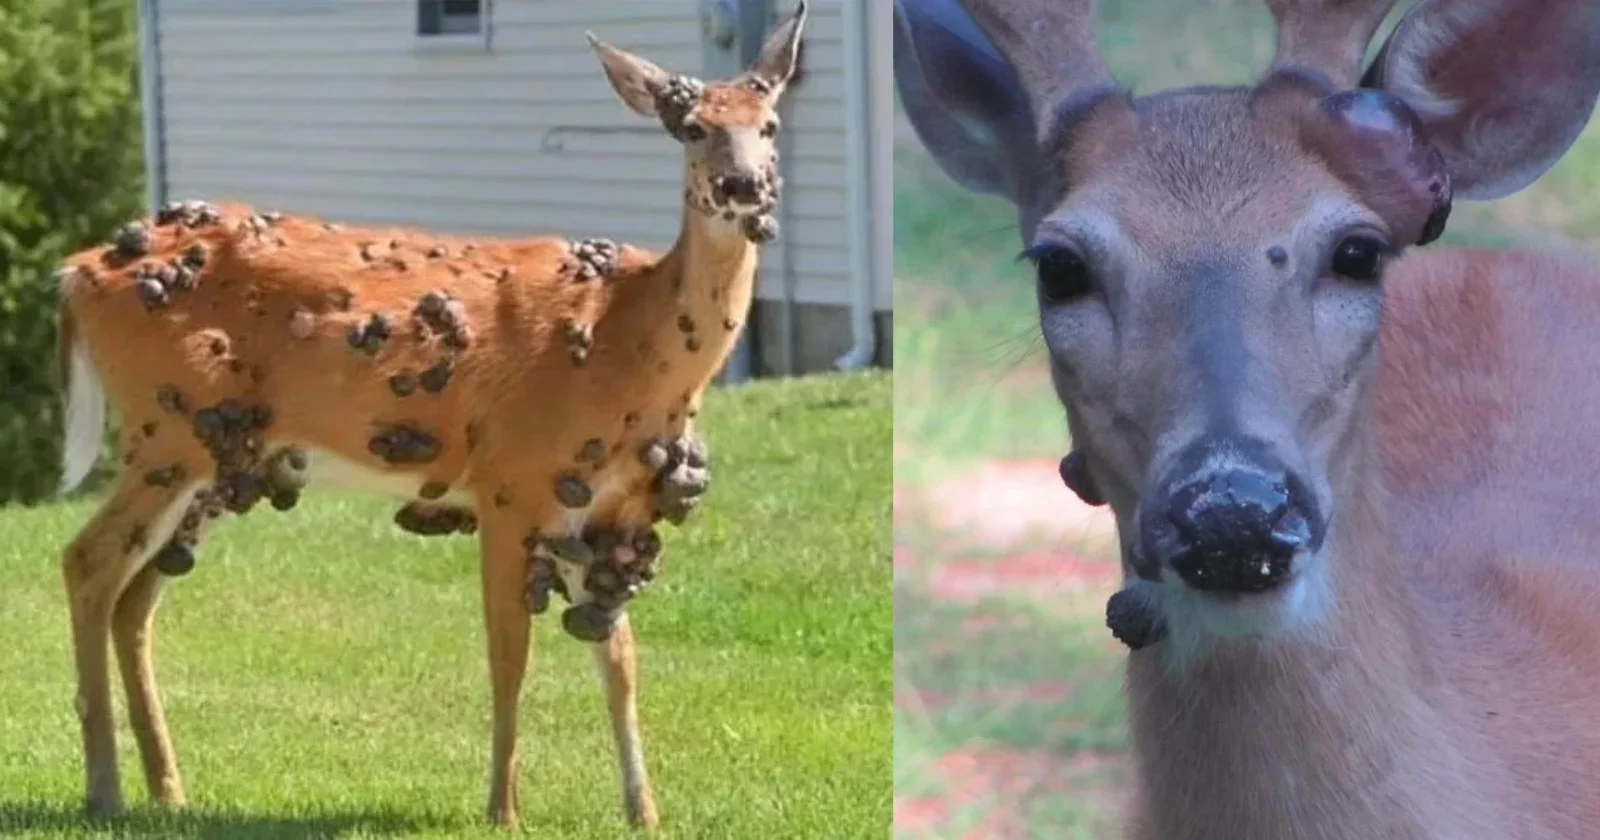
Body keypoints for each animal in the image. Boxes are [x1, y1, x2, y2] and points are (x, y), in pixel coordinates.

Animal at [51, 3, 806, 830]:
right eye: (693, 127)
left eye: (769, 123)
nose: (743, 184)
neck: (627, 340)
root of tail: (76, 272)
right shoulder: (512, 484)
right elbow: (509, 655)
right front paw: (503, 811)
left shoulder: (609, 508)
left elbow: (620, 661)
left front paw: (645, 814)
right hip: (166, 430)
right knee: (87, 561)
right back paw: (102, 787)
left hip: (223, 457)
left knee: (136, 597)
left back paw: (168, 789)